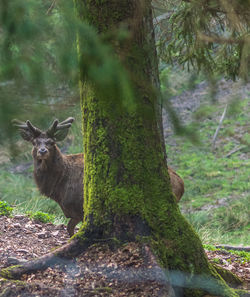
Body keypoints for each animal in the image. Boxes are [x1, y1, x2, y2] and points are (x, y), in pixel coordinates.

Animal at [13, 117, 185, 235]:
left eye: (51, 142)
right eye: (34, 142)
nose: (42, 151)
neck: (59, 187)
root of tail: (181, 184)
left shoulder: (80, 207)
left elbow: (71, 230)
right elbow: (69, 230)